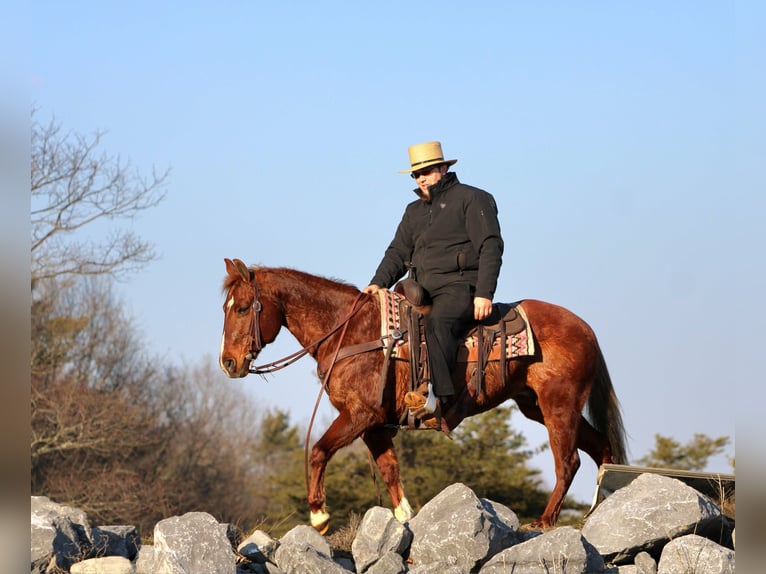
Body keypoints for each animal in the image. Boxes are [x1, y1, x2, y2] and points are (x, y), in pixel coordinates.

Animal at [219, 258, 627, 533]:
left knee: (569, 461)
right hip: (537, 406)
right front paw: (405, 518)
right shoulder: (374, 426)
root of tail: (586, 329)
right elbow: (390, 470)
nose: (228, 362)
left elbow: (319, 451)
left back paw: (544, 520)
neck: (350, 333)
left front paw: (319, 515)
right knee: (601, 448)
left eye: (243, 308)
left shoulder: (359, 415)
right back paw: (601, 510)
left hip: (558, 406)